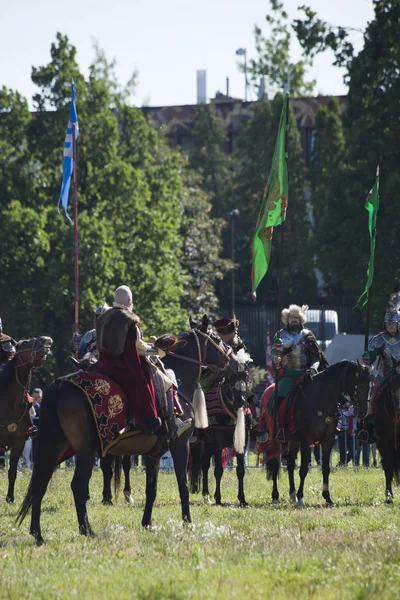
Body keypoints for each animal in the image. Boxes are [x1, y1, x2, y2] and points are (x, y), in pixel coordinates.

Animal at [16, 318, 238, 544]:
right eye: (216, 337)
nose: (235, 362)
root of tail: (60, 385)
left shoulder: (154, 453)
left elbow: (151, 488)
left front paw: (147, 523)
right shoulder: (180, 444)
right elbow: (183, 485)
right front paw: (187, 522)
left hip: (56, 446)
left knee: (40, 484)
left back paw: (38, 534)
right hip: (85, 450)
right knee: (77, 486)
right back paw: (87, 530)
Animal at [260, 360, 370, 506]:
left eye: (369, 386)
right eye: (360, 385)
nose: (363, 412)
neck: (321, 398)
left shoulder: (328, 441)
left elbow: (325, 469)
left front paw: (328, 497)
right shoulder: (306, 440)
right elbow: (303, 469)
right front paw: (301, 497)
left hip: (293, 441)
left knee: (290, 465)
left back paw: (292, 494)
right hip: (276, 440)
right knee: (275, 465)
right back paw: (275, 496)